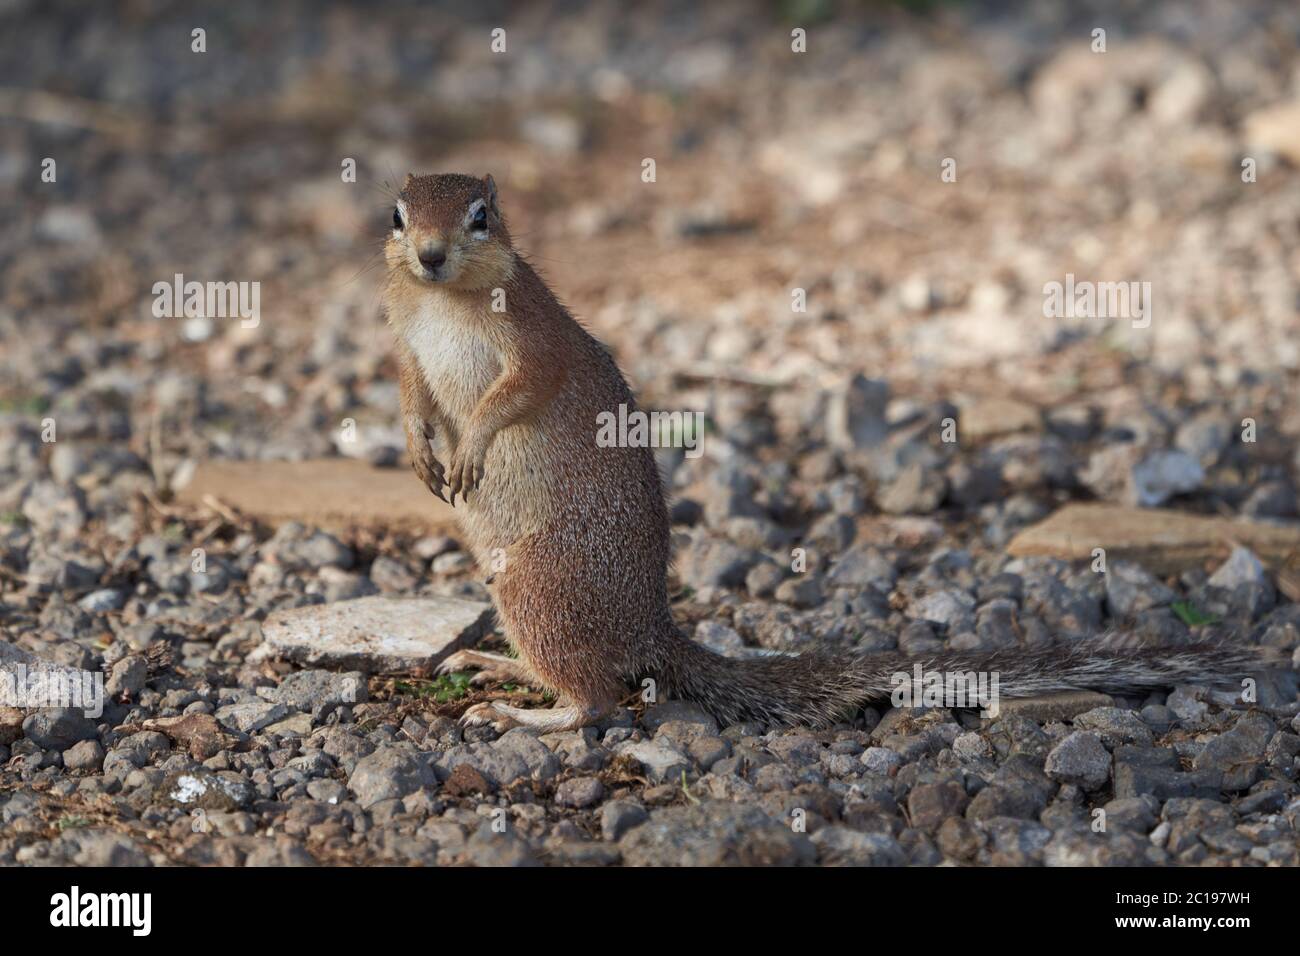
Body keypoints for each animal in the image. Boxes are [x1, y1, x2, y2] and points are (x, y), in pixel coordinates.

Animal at [379, 171, 1263, 733]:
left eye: (481, 215)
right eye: (395, 213)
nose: (429, 253)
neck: (446, 303)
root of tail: (652, 627)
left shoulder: (533, 344)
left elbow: (513, 394)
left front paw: (471, 447)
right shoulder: (408, 349)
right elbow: (412, 393)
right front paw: (422, 453)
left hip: (537, 587)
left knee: (598, 697)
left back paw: (527, 715)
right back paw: (499, 667)